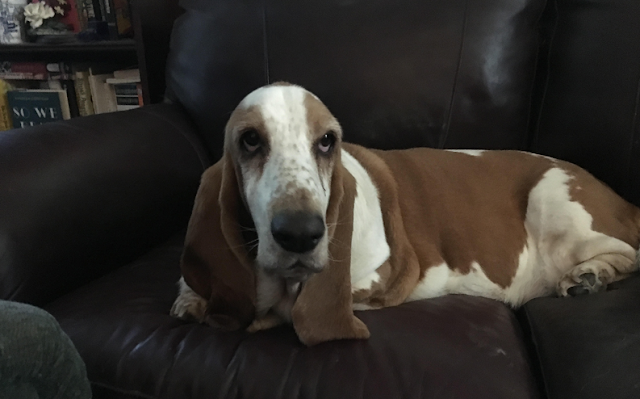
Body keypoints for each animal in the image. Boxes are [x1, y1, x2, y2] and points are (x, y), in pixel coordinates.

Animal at [170, 82, 640, 346]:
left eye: (326, 141)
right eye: (249, 140)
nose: (301, 233)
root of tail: (623, 201)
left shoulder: (390, 274)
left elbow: (302, 304)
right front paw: (194, 299)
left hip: (554, 205)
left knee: (626, 252)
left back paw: (588, 277)